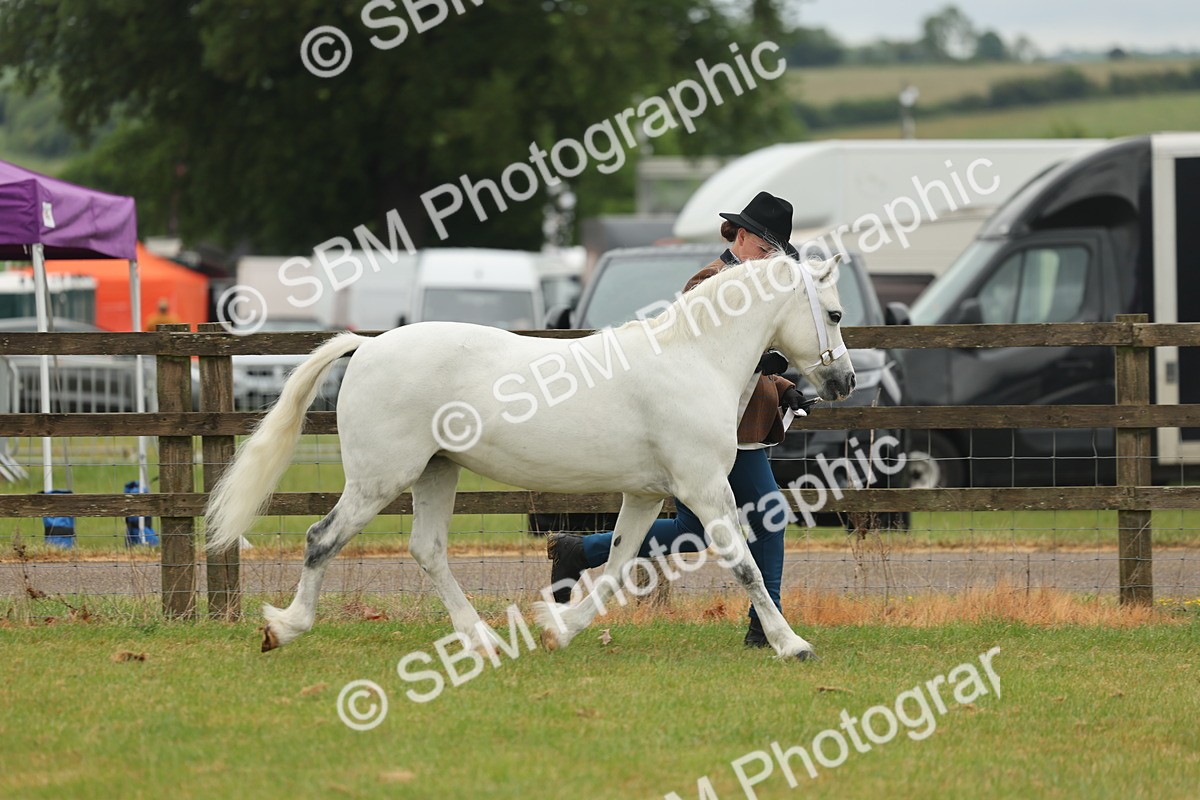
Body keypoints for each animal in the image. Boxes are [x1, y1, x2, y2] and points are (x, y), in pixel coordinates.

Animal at [204, 253, 855, 659]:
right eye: (837, 313)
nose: (845, 380)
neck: (692, 357)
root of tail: (365, 348)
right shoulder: (703, 488)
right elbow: (744, 565)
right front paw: (793, 645)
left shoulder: (646, 493)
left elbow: (618, 564)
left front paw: (558, 630)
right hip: (379, 479)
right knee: (322, 538)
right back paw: (285, 627)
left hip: (436, 472)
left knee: (427, 549)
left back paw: (482, 640)